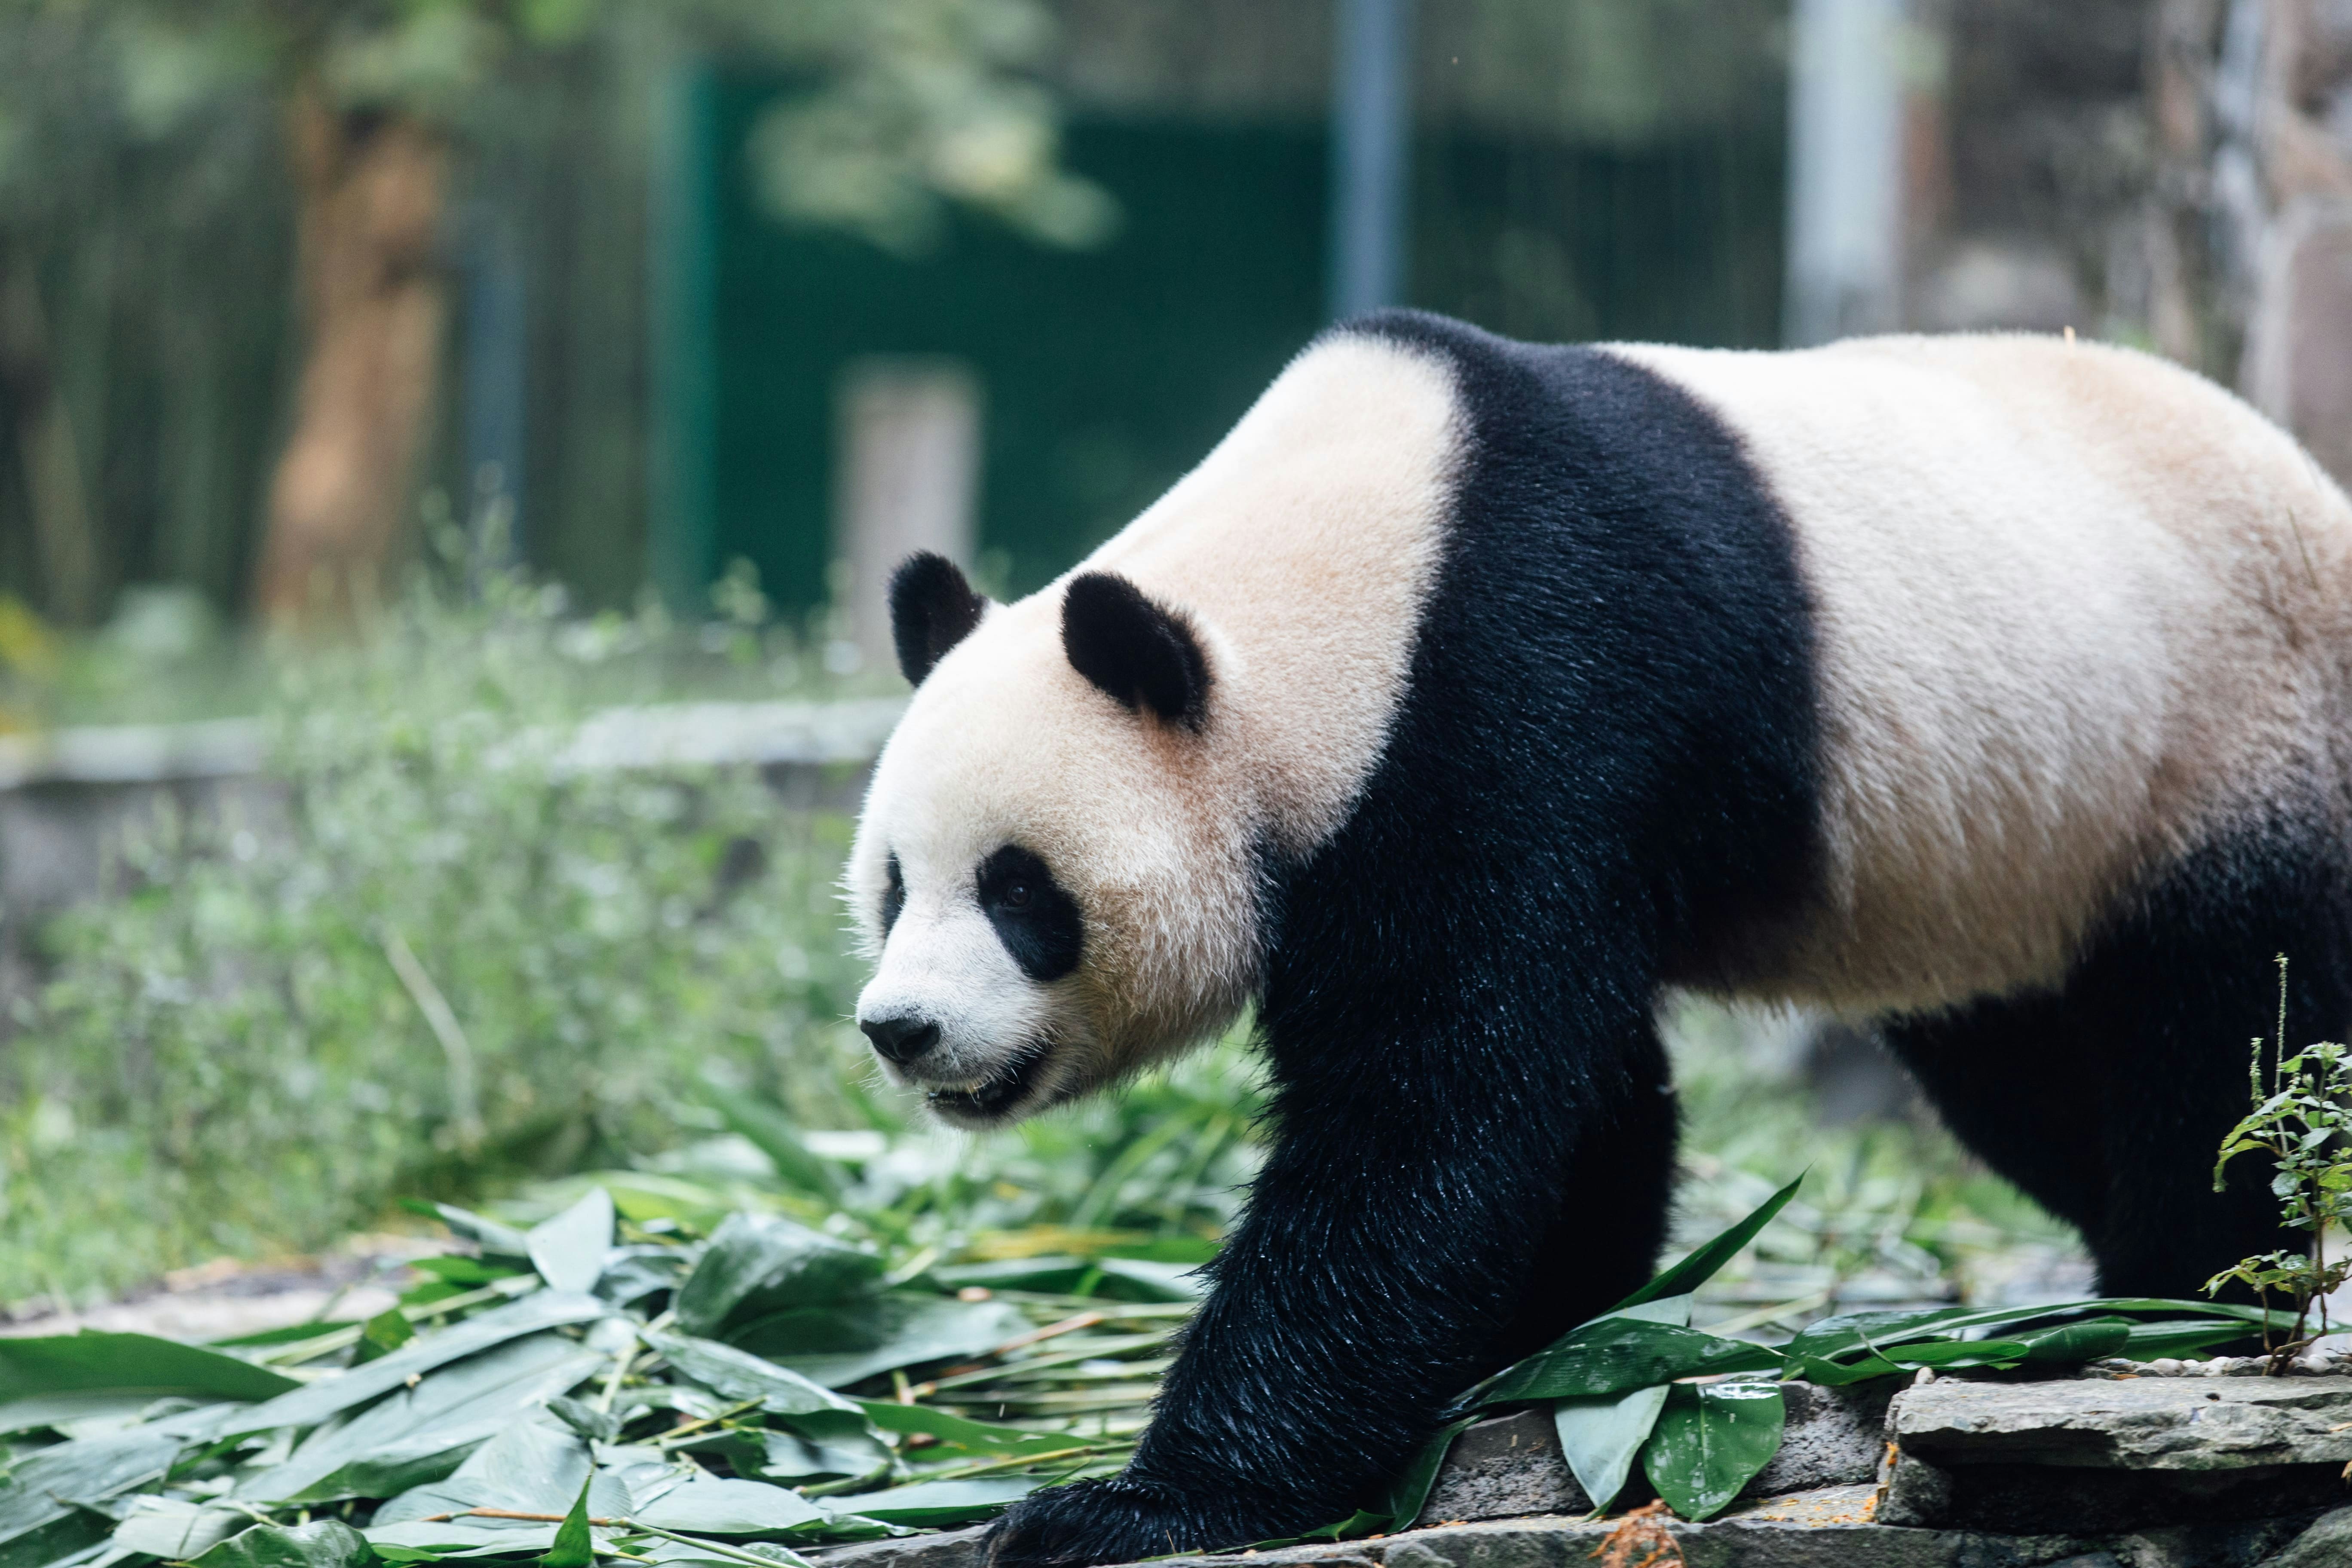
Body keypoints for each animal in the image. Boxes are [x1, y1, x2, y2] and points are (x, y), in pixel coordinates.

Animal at [846, 310, 2352, 1568]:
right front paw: (1548, 1330)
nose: (902, 1029)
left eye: (1021, 893)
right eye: (894, 885)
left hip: (2221, 744)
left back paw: (2179, 1290)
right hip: (2015, 872)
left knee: (2233, 1045)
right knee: (2029, 1071)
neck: (1355, 572)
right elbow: (1568, 1104)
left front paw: (1129, 1504)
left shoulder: (1523, 685)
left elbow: (1432, 1119)